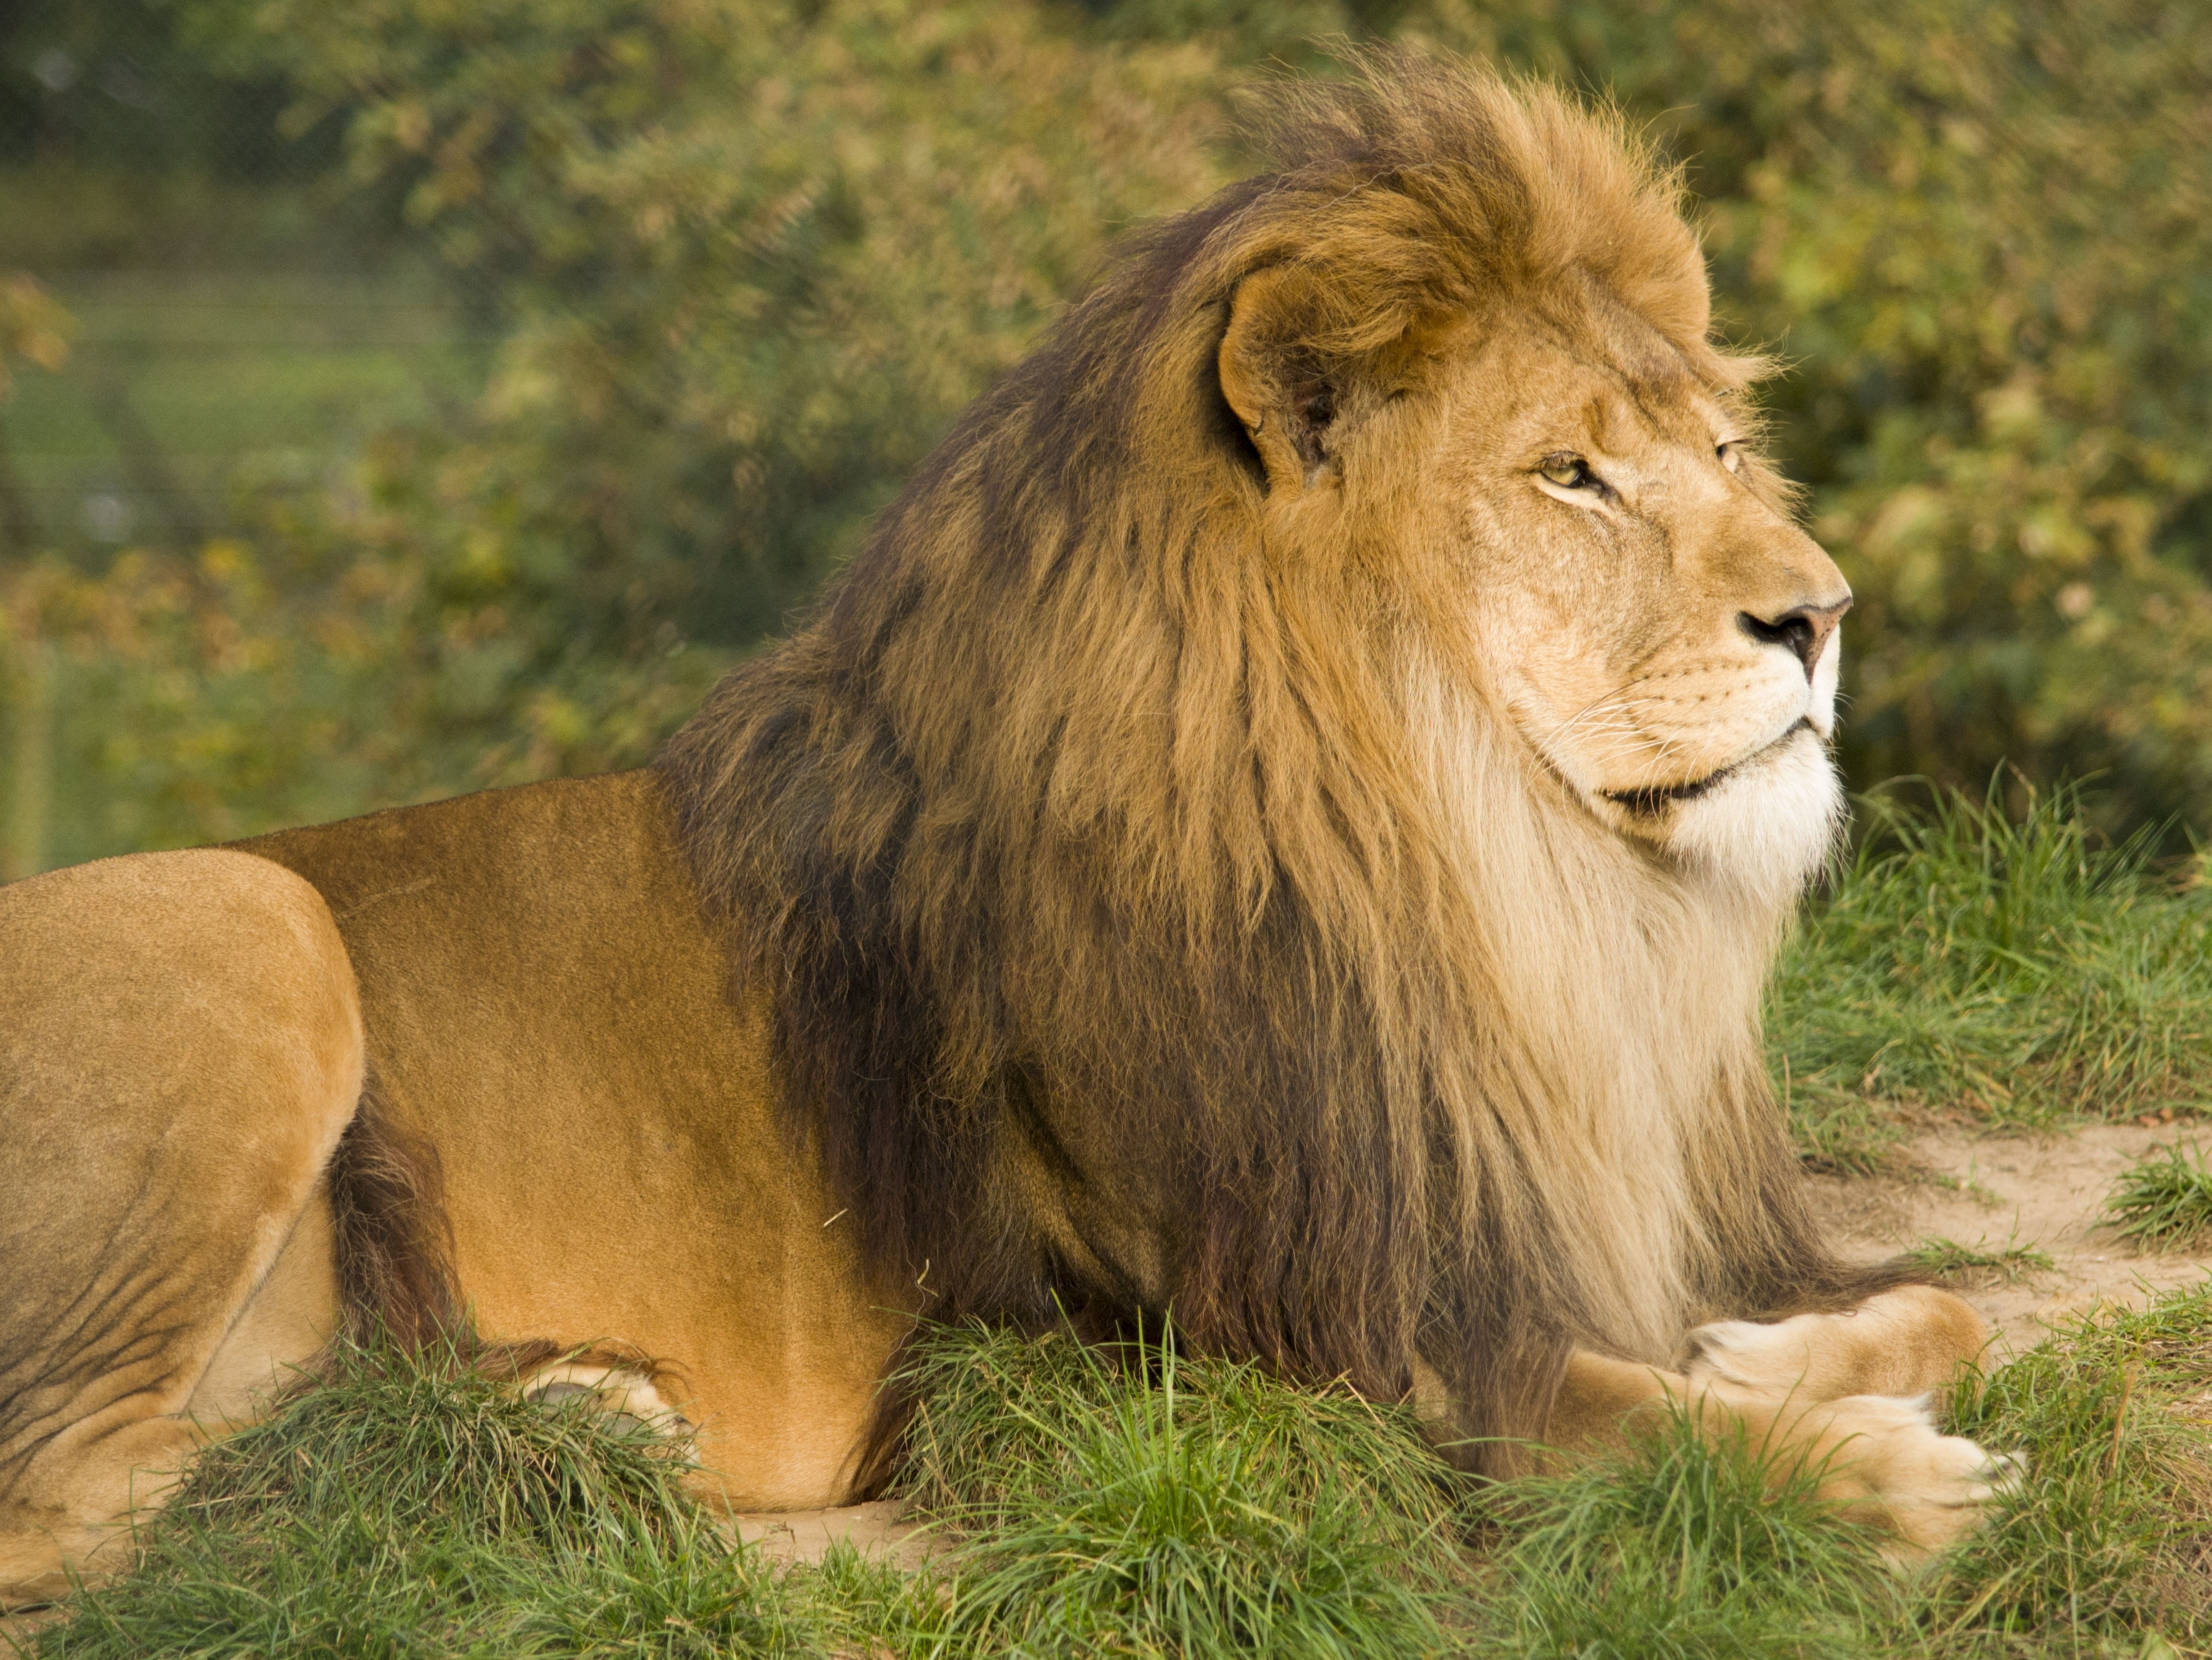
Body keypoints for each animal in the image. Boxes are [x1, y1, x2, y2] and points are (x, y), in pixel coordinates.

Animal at [0, 55, 2008, 1611]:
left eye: (1724, 452)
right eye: (1569, 475)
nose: (1825, 613)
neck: (1513, 893)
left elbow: (1939, 1301)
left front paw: (1777, 1359)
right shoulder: (1268, 1340)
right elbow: (1609, 1425)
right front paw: (1878, 1481)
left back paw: (565, 1414)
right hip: (243, 911)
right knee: (77, 1491)